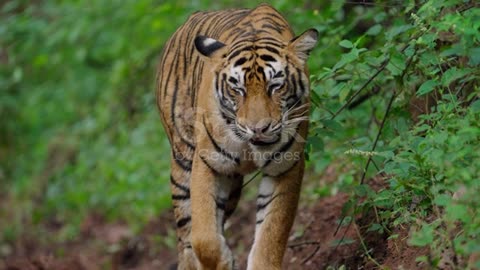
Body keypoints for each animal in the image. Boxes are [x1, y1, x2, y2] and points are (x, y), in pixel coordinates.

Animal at [156, 4, 316, 270]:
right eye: (237, 89)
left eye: (276, 86)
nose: (258, 128)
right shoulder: (208, 163)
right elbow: (203, 237)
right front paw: (224, 261)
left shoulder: (286, 167)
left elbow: (271, 233)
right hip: (182, 165)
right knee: (185, 235)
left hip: (231, 188)